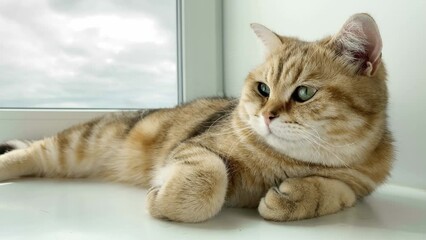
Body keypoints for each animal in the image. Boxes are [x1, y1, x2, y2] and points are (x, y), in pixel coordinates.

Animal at [0, 13, 392, 222]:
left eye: (304, 93)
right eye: (263, 88)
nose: (266, 116)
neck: (289, 161)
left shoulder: (359, 185)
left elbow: (337, 191)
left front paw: (295, 196)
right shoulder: (196, 147)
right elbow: (209, 180)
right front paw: (165, 198)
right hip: (79, 143)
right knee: (31, 151)